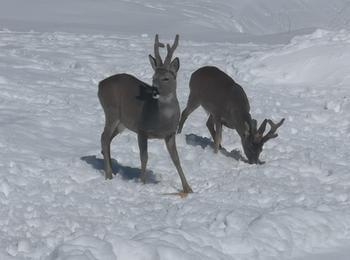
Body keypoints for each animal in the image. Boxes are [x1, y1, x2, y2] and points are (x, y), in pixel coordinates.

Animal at [98, 34, 194, 193]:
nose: (155, 90)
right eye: (153, 78)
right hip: (111, 111)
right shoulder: (142, 130)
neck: (161, 121)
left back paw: (111, 170)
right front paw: (142, 183)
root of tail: (100, 85)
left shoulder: (170, 134)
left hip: (122, 123)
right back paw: (109, 175)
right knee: (104, 137)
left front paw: (188, 188)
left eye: (166, 78)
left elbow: (176, 159)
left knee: (108, 139)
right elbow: (144, 157)